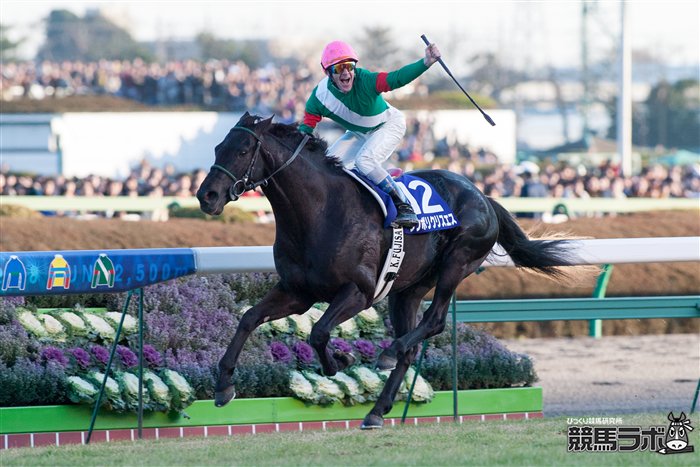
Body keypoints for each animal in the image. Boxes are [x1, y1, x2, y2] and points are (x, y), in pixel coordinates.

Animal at [197, 112, 579, 429]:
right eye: (217, 147)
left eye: (243, 149)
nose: (207, 196)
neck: (320, 212)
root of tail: (483, 196)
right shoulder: (297, 292)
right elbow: (248, 318)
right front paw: (224, 386)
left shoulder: (359, 291)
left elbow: (318, 332)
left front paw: (338, 361)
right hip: (407, 289)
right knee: (410, 346)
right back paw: (377, 410)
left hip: (457, 262)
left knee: (433, 322)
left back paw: (387, 354)